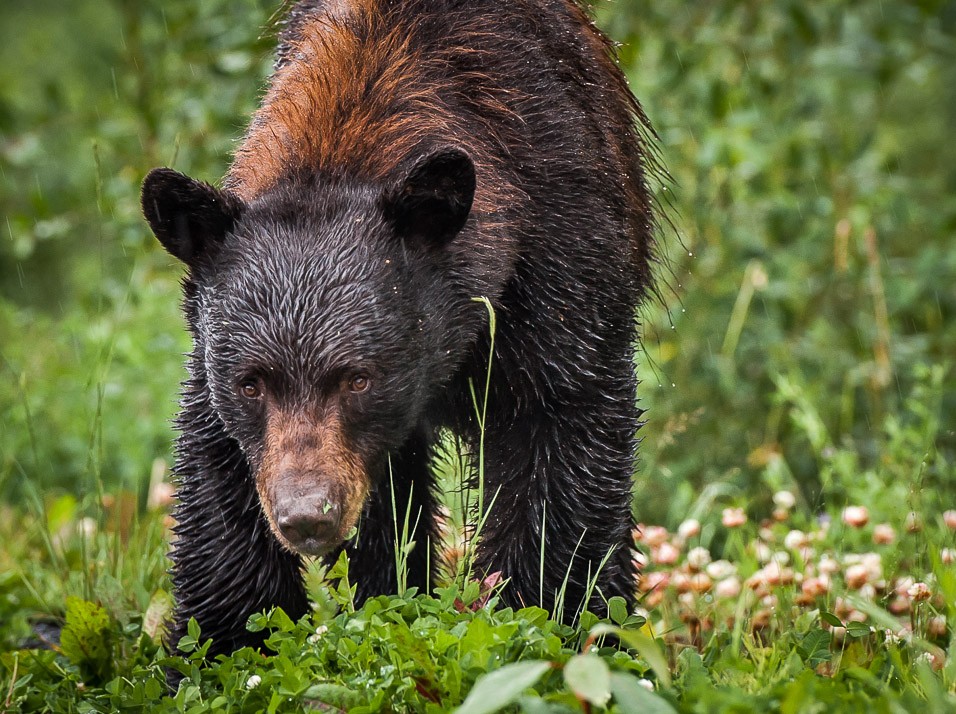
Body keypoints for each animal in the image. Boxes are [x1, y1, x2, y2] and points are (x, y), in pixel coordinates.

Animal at [142, 0, 656, 660]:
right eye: (250, 384)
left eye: (357, 378)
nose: (307, 516)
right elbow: (217, 476)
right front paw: (221, 645)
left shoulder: (558, 260)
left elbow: (562, 431)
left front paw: (553, 623)